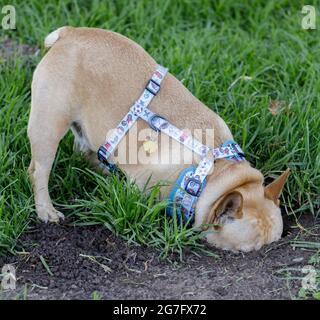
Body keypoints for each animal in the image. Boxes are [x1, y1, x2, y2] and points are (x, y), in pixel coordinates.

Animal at [27, 26, 288, 252]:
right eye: (243, 252)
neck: (214, 173)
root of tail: (70, 32)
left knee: (83, 150)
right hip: (49, 124)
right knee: (38, 171)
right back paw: (46, 210)